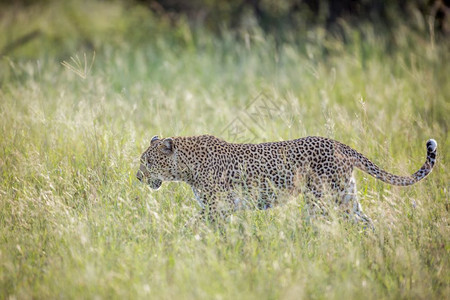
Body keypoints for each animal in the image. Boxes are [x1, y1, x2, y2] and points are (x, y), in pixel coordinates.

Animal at [136, 134, 436, 227]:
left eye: (148, 162)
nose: (138, 177)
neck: (186, 168)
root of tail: (340, 144)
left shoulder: (216, 207)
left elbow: (193, 225)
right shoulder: (220, 209)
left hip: (322, 198)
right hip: (345, 196)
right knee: (365, 222)